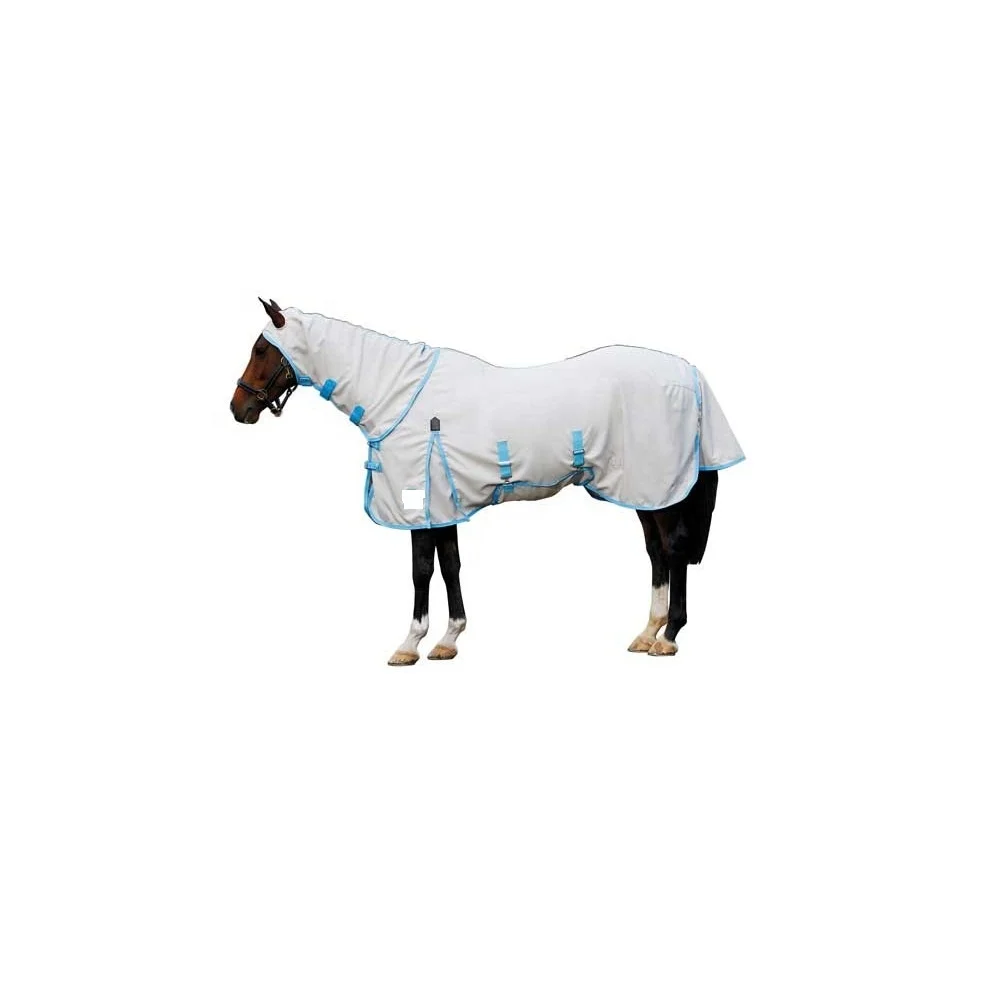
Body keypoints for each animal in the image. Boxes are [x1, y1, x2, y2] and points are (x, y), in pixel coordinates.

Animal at [231, 298, 744, 665]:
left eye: (261, 349)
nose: (238, 409)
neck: (398, 395)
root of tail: (688, 372)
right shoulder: (444, 506)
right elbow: (450, 566)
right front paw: (448, 640)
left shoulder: (423, 505)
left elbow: (422, 570)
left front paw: (409, 645)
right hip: (645, 489)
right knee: (657, 553)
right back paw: (647, 632)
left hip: (661, 488)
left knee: (673, 550)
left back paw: (669, 637)